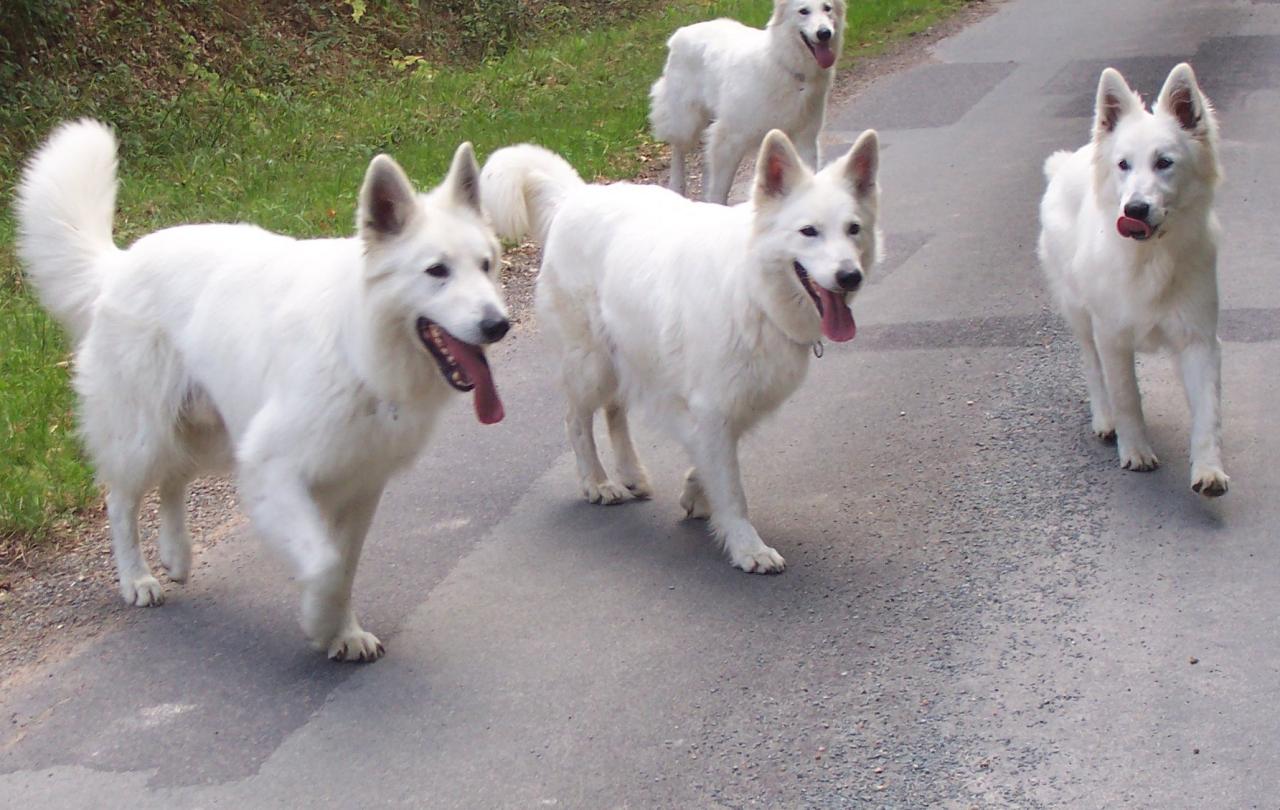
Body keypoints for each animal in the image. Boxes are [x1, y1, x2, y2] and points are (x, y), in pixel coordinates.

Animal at [16, 121, 509, 665]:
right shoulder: (274, 468)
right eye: (437, 271)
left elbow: (345, 566)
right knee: (122, 500)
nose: (499, 325)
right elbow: (326, 565)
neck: (356, 345)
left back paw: (176, 554)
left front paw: (344, 630)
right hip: (145, 435)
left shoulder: (360, 485)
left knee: (174, 481)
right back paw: (138, 578)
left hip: (208, 428)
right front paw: (320, 624)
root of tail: (119, 264)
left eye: (486, 265)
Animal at [481, 127, 880, 568]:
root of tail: (575, 197)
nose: (850, 276)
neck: (753, 289)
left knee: (615, 410)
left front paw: (695, 491)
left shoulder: (729, 404)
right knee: (576, 421)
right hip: (592, 366)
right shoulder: (715, 406)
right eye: (809, 231)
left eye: (854, 229)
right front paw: (747, 547)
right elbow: (732, 489)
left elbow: (707, 460)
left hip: (627, 354)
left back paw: (631, 474)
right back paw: (597, 483)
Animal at [655, 0, 844, 204]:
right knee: (678, 150)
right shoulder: (728, 140)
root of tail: (682, 32)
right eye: (803, 11)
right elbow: (720, 191)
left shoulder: (805, 139)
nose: (824, 33)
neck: (784, 63)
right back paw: (676, 186)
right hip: (686, 122)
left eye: (827, 8)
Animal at [1039, 64, 1228, 493]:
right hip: (1081, 315)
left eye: (1164, 162)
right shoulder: (1112, 336)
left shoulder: (1198, 339)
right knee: (1093, 368)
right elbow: (1126, 396)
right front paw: (1136, 449)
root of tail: (1064, 163)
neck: (1150, 257)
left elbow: (1207, 412)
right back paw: (1104, 419)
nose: (1135, 210)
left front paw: (1208, 469)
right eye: (1124, 164)